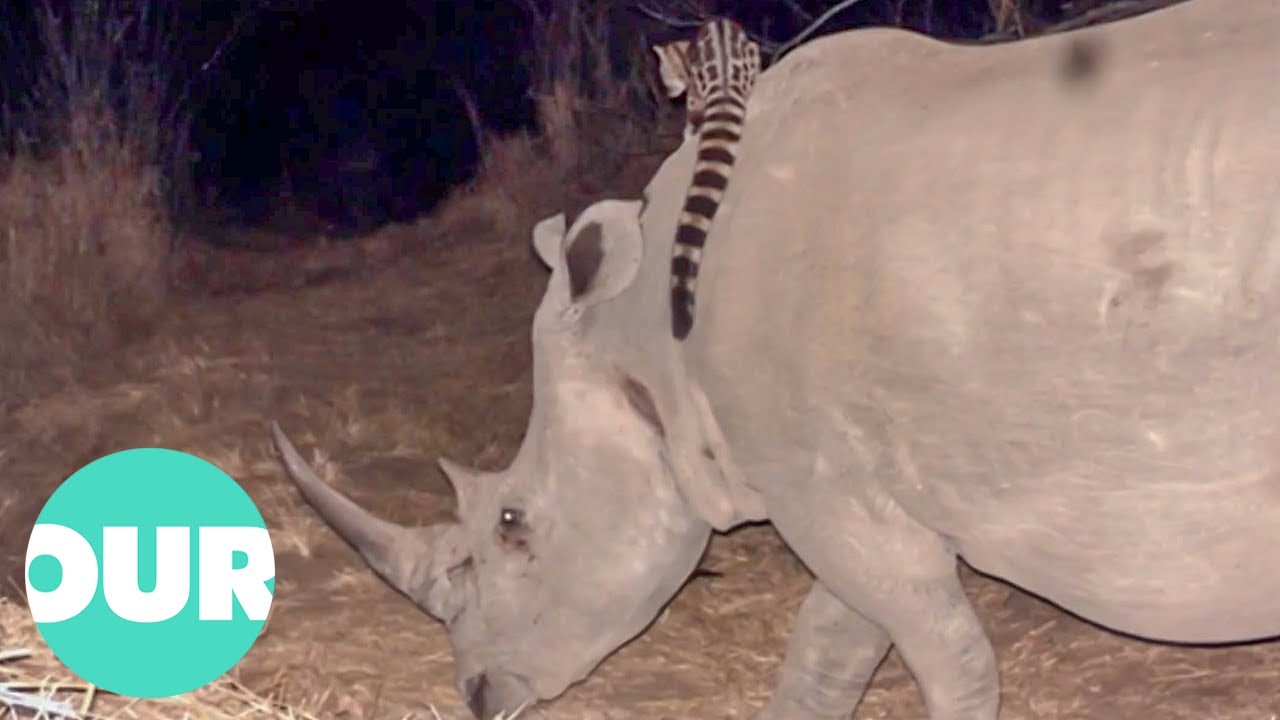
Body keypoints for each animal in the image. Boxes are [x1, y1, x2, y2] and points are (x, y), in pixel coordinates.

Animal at [268, 0, 1280, 717]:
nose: (479, 697)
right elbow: (833, 642)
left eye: (513, 523)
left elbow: (942, 655)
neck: (643, 343)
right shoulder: (856, 494)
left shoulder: (819, 480)